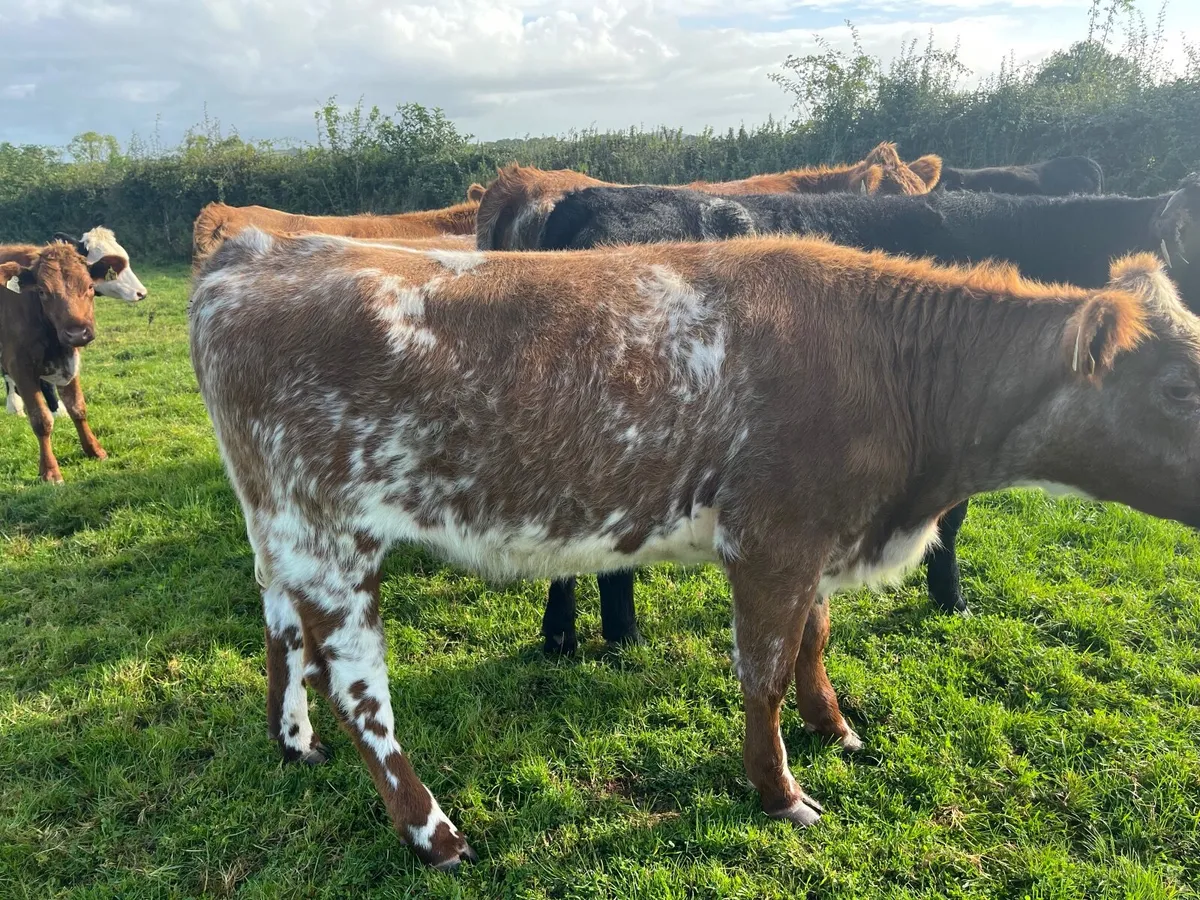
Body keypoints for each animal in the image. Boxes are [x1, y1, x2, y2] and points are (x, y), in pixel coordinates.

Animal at [0, 242, 125, 482]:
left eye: (90, 286)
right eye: (42, 291)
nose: (77, 333)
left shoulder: (70, 361)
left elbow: (78, 407)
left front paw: (94, 450)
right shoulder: (20, 366)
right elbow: (41, 420)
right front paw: (49, 471)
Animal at [190, 226, 1200, 869]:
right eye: (1180, 387)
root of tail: (254, 249)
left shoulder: (814, 536)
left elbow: (813, 640)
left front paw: (837, 728)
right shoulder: (772, 536)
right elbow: (763, 671)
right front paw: (781, 791)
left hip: (279, 526)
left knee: (279, 629)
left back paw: (293, 743)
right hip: (329, 534)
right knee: (360, 693)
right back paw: (434, 833)